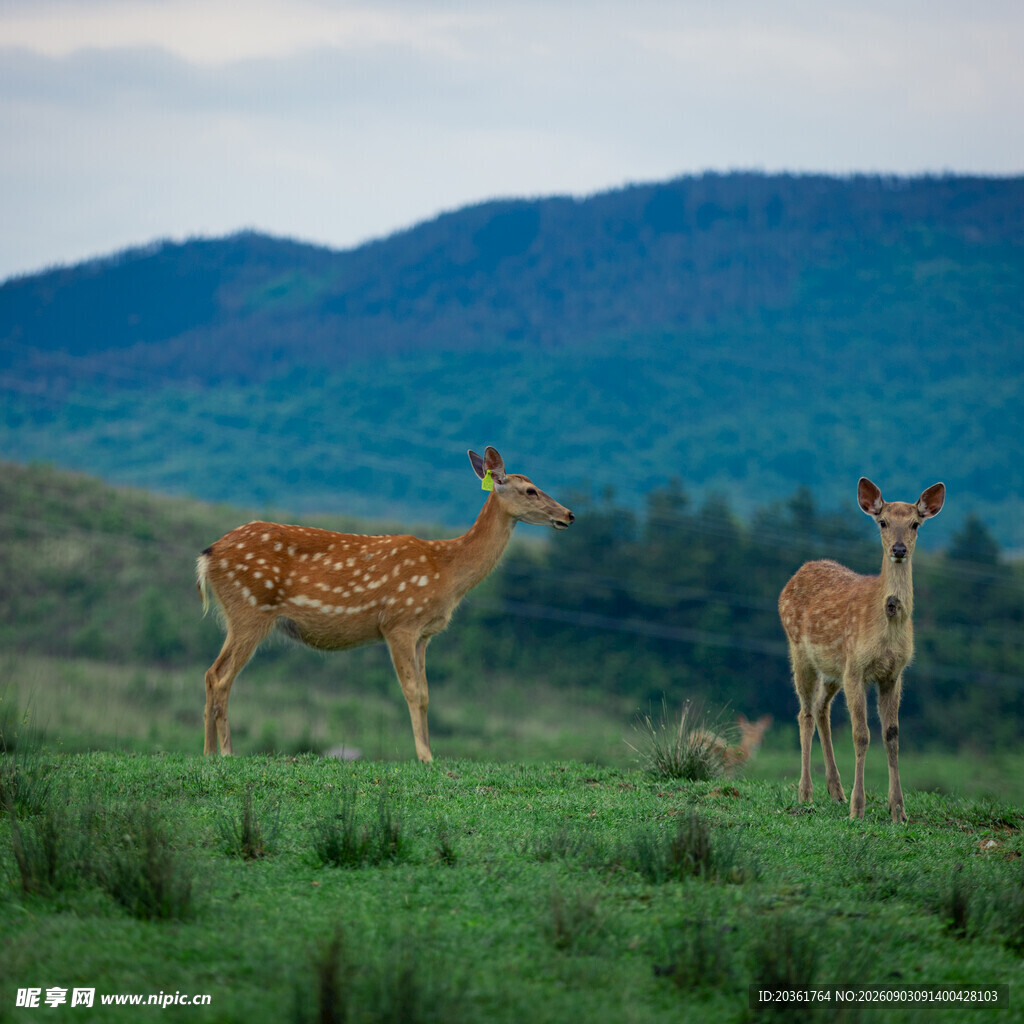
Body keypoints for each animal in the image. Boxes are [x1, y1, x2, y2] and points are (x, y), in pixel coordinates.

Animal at [195, 447, 574, 763]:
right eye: (531, 490)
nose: (569, 515)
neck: (446, 571)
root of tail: (208, 555)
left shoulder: (424, 634)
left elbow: (426, 694)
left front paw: (429, 753)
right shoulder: (399, 622)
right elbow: (412, 691)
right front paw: (425, 757)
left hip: (242, 613)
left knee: (211, 673)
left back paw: (208, 753)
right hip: (251, 608)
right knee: (221, 676)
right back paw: (226, 752)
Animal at [778, 478, 945, 822]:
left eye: (915, 524)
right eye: (882, 522)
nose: (899, 549)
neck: (886, 628)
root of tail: (797, 573)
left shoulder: (893, 674)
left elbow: (891, 735)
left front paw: (899, 810)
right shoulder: (856, 668)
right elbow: (861, 734)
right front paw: (858, 808)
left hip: (832, 669)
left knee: (821, 709)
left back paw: (835, 790)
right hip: (800, 653)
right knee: (804, 713)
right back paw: (806, 792)